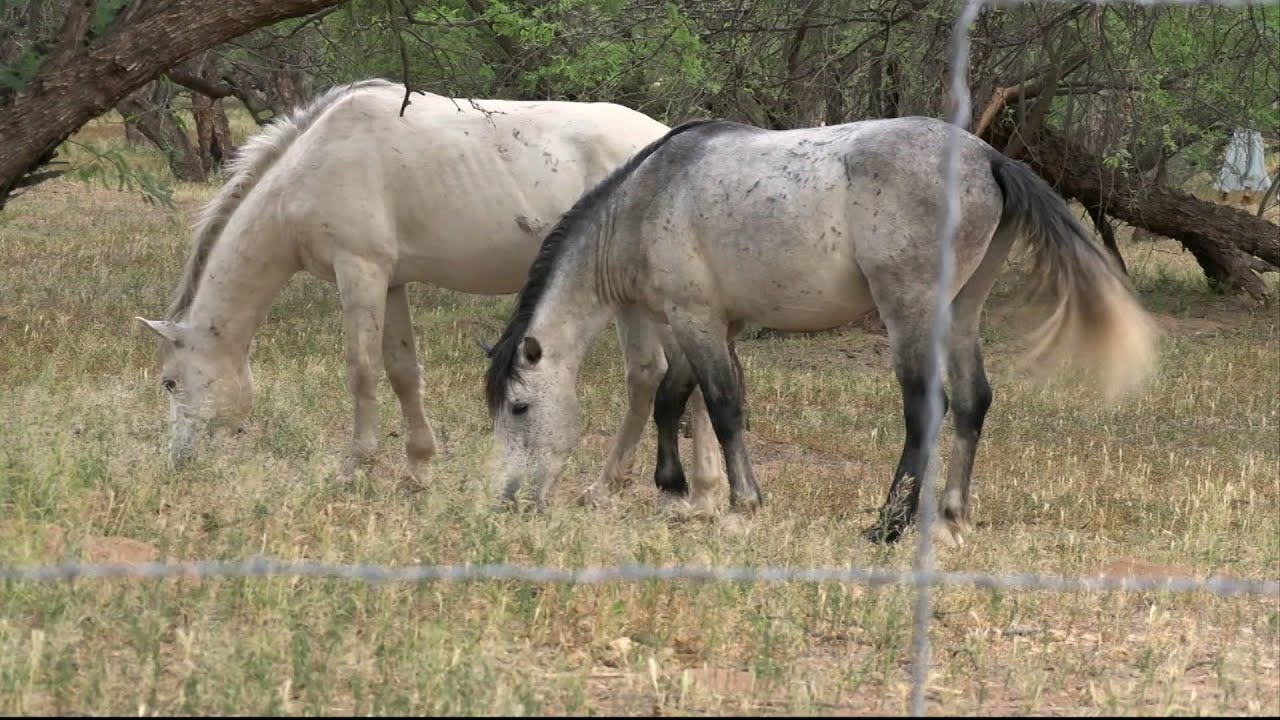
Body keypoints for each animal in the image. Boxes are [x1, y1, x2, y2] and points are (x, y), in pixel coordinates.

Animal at [134, 79, 725, 499]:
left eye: (169, 382)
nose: (178, 462)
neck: (311, 166)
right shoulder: (391, 281)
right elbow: (402, 371)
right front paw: (418, 469)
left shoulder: (360, 272)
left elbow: (361, 370)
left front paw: (355, 468)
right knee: (666, 375)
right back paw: (663, 492)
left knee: (667, 376)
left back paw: (659, 491)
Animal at [483, 116, 1157, 545]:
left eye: (519, 408)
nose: (509, 500)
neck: (645, 200)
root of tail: (990, 157)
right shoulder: (703, 326)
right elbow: (677, 399)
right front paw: (676, 494)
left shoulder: (694, 319)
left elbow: (721, 407)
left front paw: (741, 506)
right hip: (962, 312)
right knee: (972, 402)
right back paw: (951, 518)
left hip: (909, 314)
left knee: (927, 409)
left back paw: (888, 525)